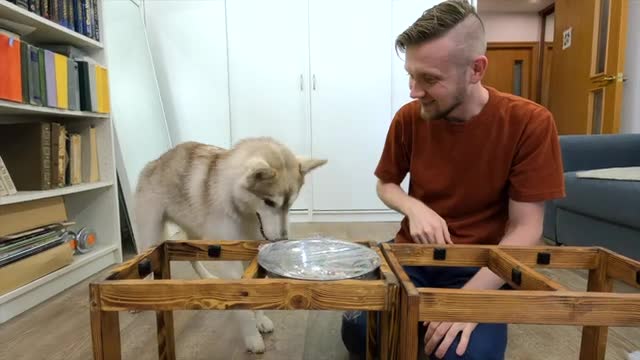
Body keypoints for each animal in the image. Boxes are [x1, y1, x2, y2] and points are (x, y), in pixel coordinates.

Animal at [133, 137, 328, 352]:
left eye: (290, 204)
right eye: (269, 202)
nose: (282, 240)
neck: (244, 211)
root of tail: (156, 161)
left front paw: (259, 319)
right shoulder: (230, 263)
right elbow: (242, 304)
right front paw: (252, 336)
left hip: (197, 233)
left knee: (192, 257)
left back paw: (206, 276)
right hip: (151, 234)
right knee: (144, 260)